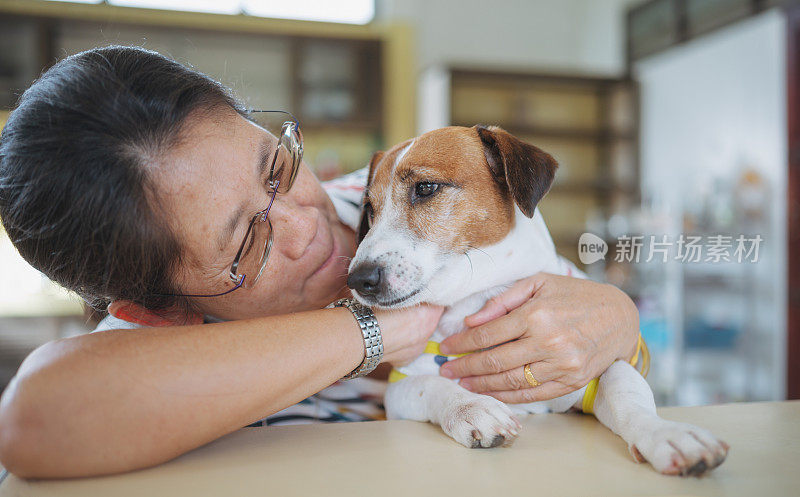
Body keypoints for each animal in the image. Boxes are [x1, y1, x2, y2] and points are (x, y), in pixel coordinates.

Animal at [346, 125, 728, 476]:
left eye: (425, 188)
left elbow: (626, 393)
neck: (479, 295)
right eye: (369, 209)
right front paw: (473, 407)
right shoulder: (400, 388)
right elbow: (431, 384)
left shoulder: (591, 370)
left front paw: (667, 434)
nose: (358, 279)